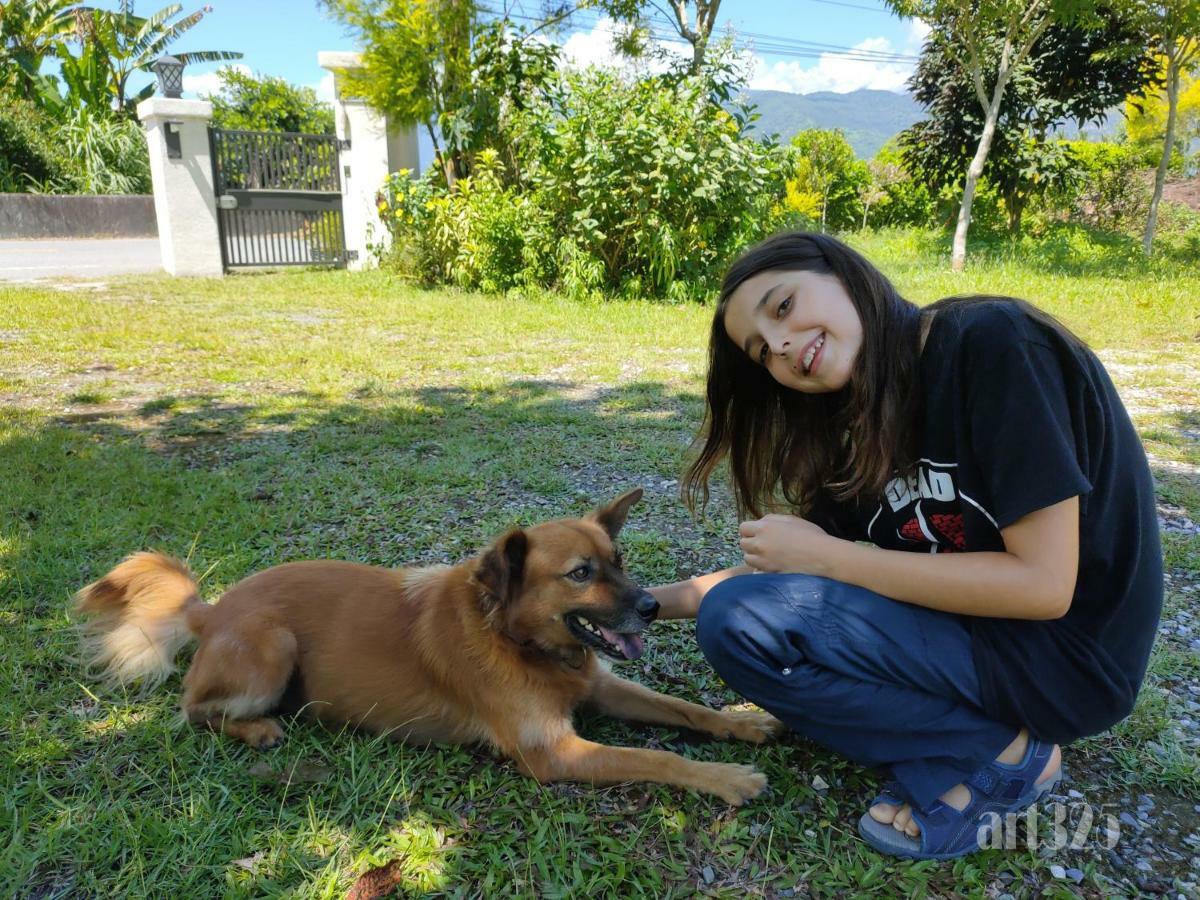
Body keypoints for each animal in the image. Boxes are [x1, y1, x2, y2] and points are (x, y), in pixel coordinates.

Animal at [79, 489, 782, 806]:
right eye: (580, 574)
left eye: (620, 561)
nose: (653, 606)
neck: (515, 640)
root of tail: (214, 607)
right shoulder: (553, 753)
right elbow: (656, 757)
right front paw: (726, 779)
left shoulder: (602, 685)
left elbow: (683, 709)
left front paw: (743, 724)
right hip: (270, 646)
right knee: (195, 709)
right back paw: (258, 730)